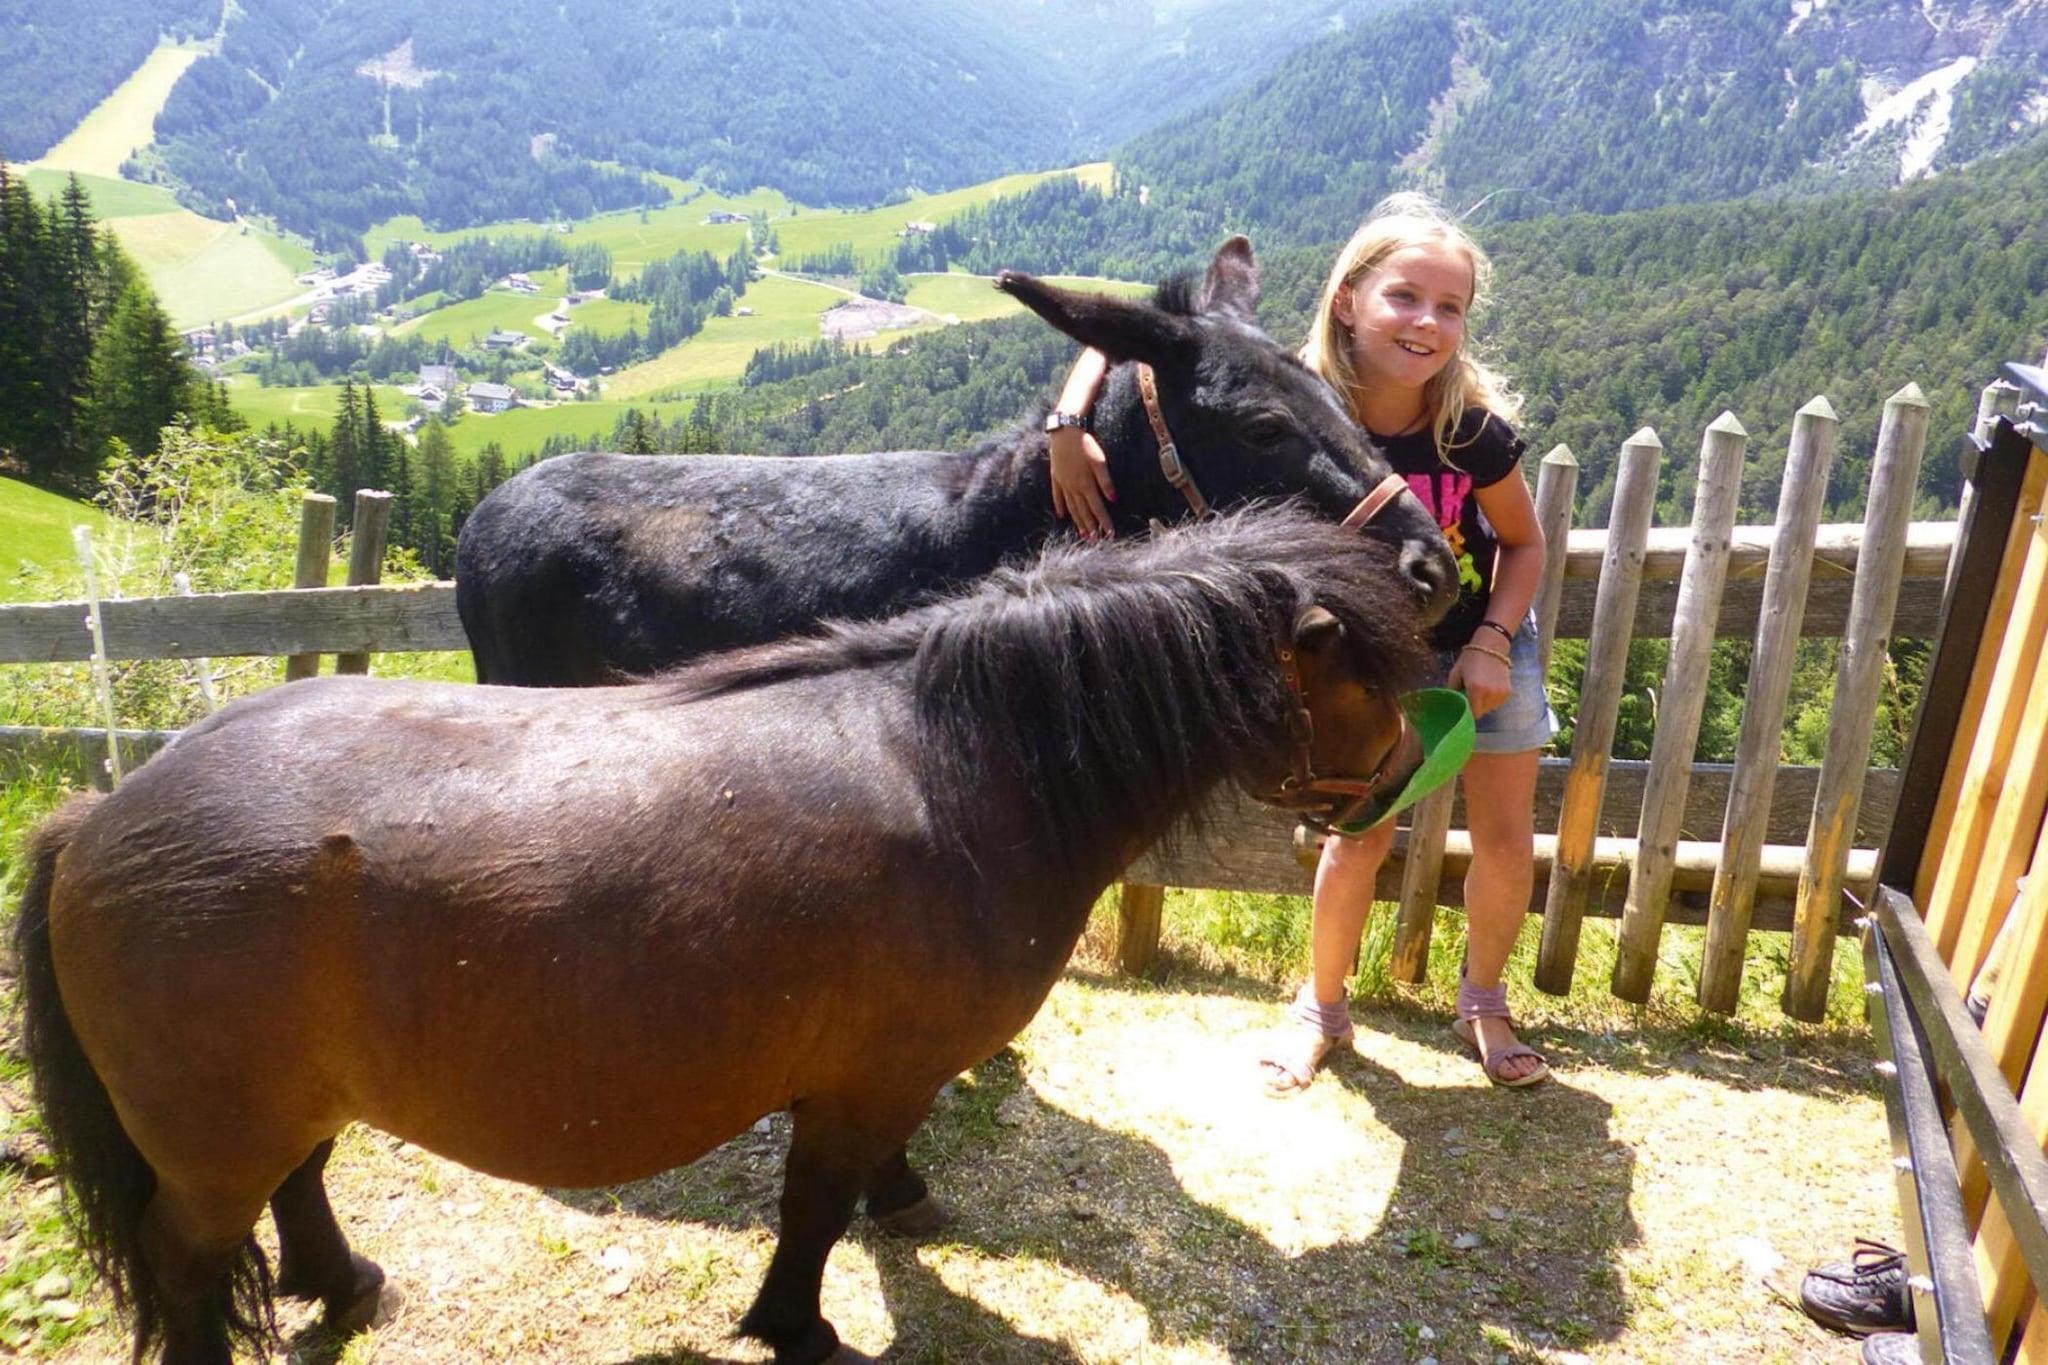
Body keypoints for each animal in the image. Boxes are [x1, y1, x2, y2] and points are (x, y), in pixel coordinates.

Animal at [17, 508, 1433, 1365]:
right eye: (1364, 677)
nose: (1396, 787)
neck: (963, 763)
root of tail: (99, 817)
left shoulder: (879, 1073)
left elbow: (865, 1181)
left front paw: (901, 1202)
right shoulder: (860, 1080)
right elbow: (809, 1211)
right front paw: (797, 1326)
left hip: (280, 1099)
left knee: (301, 1176)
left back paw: (341, 1279)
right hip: (209, 1140)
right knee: (192, 1257)